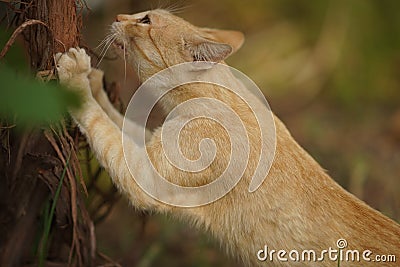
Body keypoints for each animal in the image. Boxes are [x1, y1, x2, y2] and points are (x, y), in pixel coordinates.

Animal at [54, 9, 398, 266]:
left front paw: (75, 75)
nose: (119, 14)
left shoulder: (143, 175)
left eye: (146, 20)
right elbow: (117, 121)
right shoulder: (152, 144)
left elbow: (101, 124)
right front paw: (94, 81)